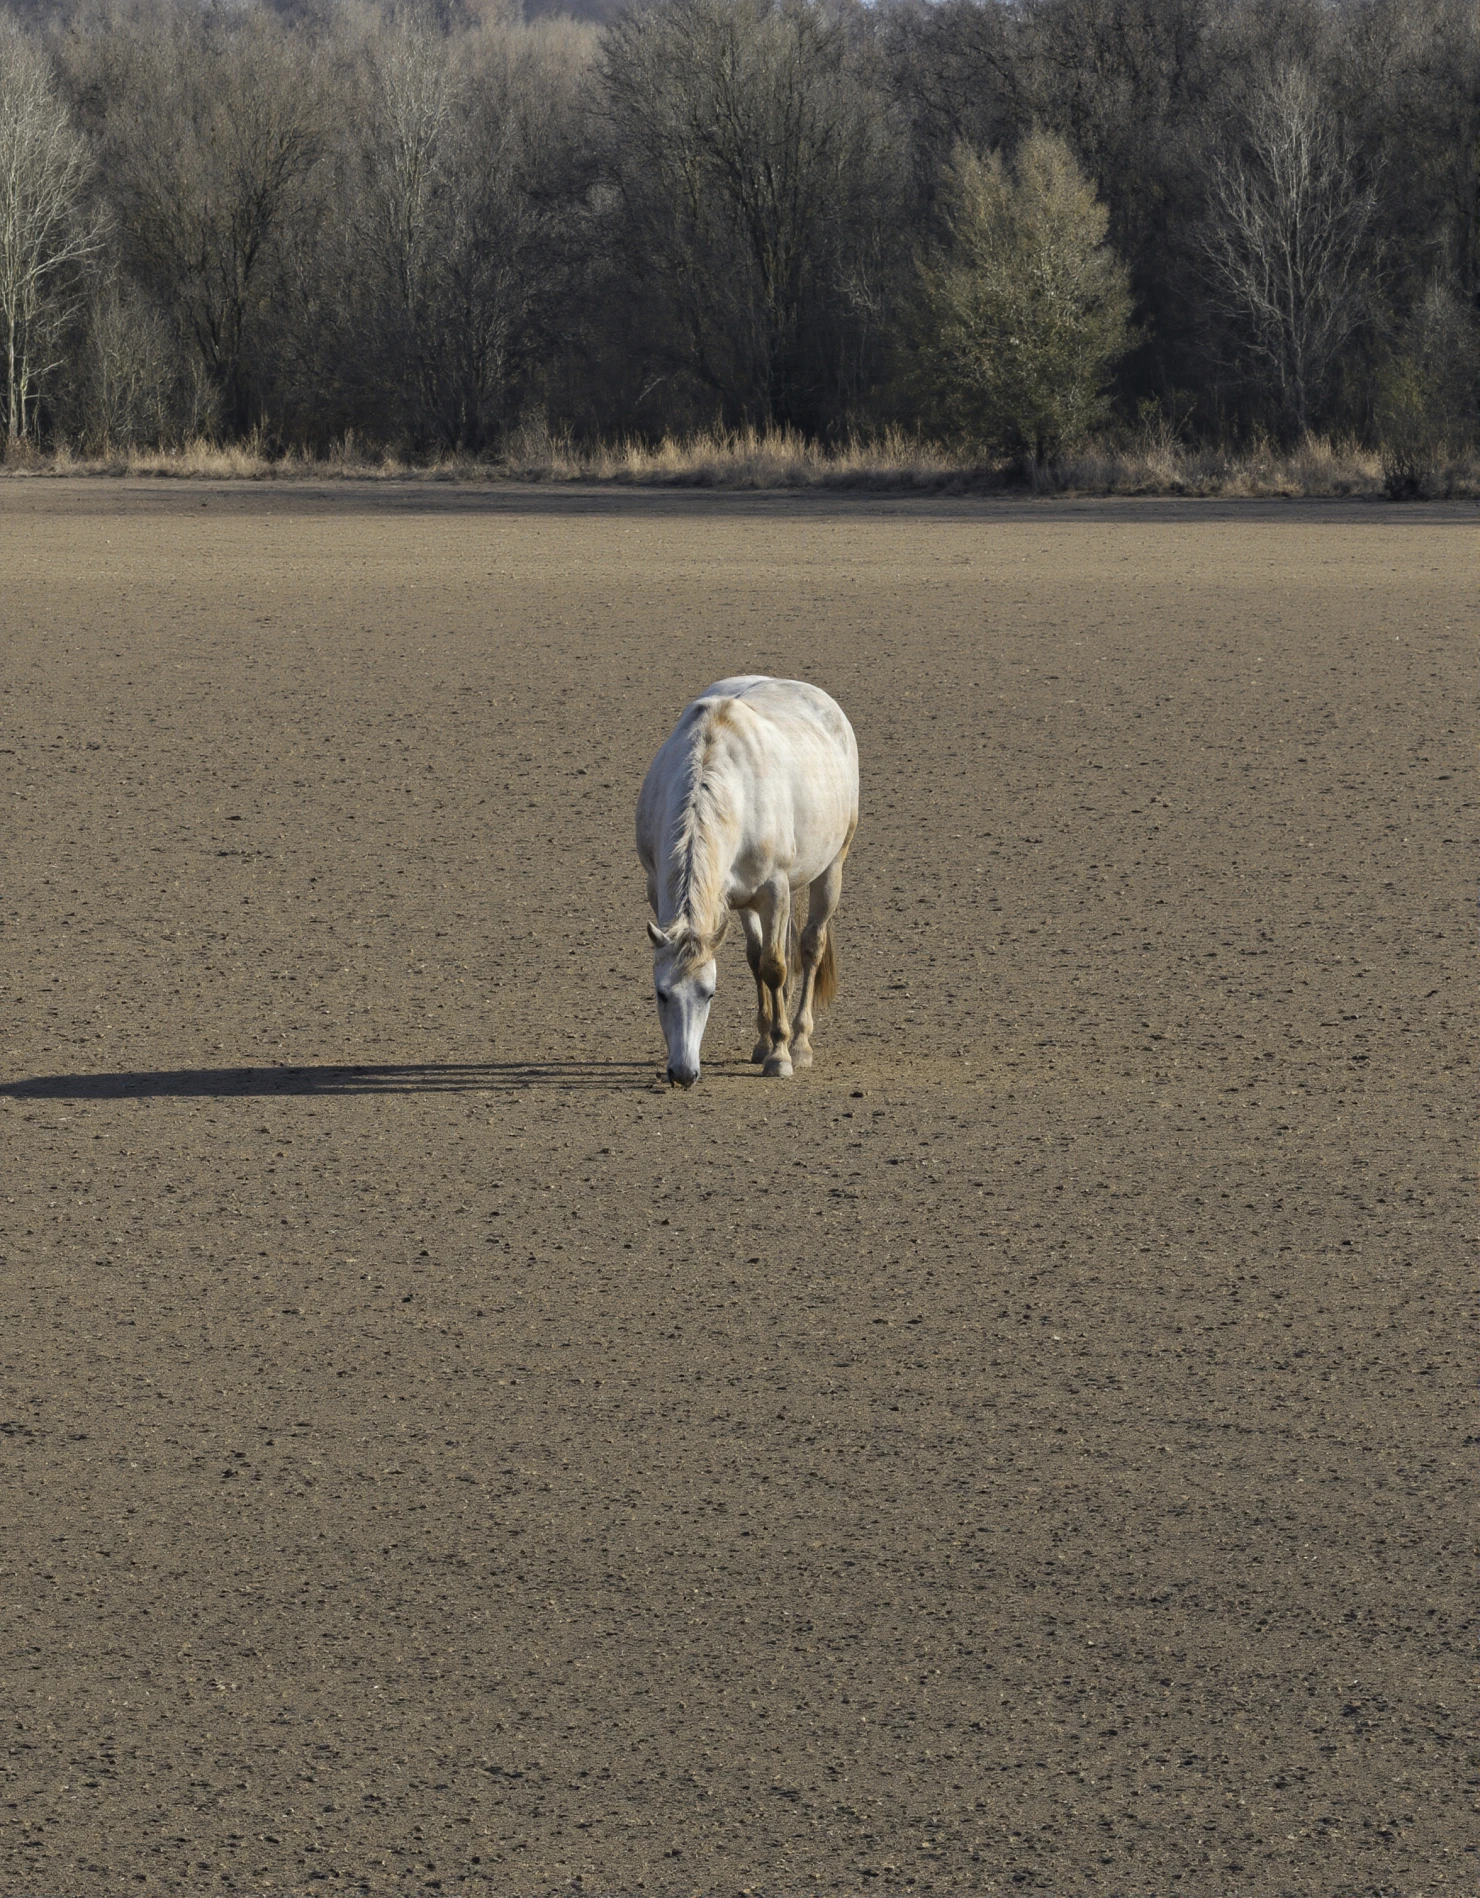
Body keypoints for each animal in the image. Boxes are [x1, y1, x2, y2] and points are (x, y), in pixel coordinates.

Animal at [636, 675, 859, 1087]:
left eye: (709, 994)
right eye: (661, 994)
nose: (683, 1072)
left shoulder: (775, 890)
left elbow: (775, 966)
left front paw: (780, 1057)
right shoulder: (659, 886)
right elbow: (760, 961)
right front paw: (766, 1043)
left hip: (832, 867)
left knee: (810, 946)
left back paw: (799, 1041)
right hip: (740, 900)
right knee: (757, 954)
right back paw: (764, 1039)